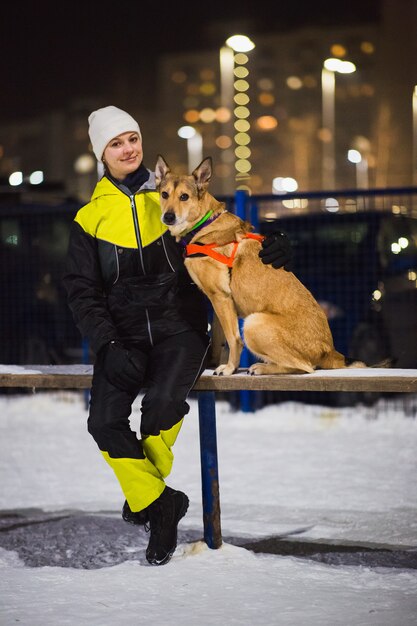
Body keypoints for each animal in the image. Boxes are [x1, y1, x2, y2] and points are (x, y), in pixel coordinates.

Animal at [154, 155, 364, 376]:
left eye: (184, 197)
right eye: (164, 194)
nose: (168, 217)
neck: (204, 223)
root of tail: (330, 351)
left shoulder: (220, 297)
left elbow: (233, 340)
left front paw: (229, 368)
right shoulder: (221, 301)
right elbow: (220, 339)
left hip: (253, 323)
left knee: (305, 367)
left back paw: (262, 367)